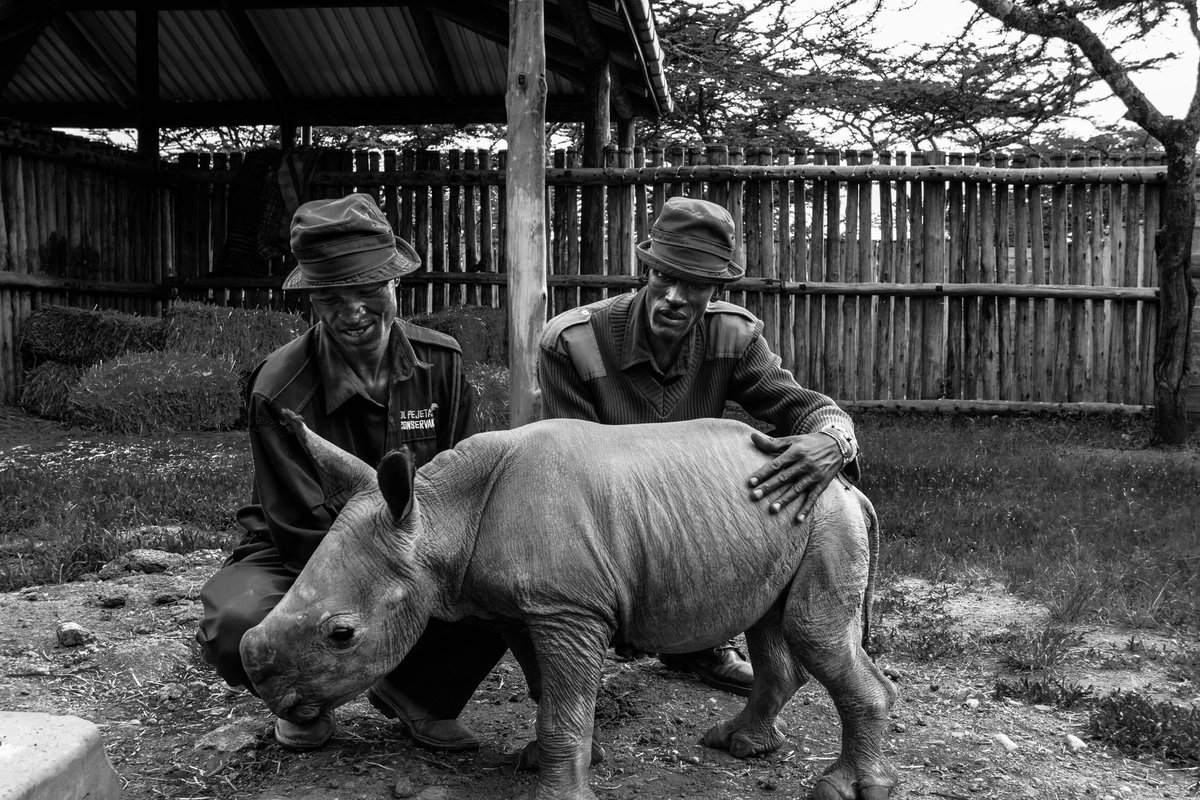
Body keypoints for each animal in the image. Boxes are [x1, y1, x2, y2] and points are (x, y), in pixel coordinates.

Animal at [239, 413, 898, 800]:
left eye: (341, 635)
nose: (264, 686)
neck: (438, 512)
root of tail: (847, 485)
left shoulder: (568, 608)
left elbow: (563, 704)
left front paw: (559, 790)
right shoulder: (527, 608)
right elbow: (548, 693)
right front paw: (554, 760)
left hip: (824, 518)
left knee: (812, 632)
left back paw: (845, 788)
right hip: (784, 520)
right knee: (770, 624)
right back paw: (736, 745)